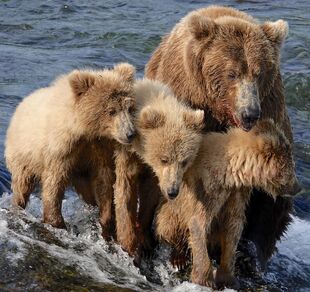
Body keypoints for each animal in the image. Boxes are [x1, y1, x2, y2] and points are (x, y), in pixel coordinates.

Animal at [145, 5, 296, 270]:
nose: (249, 113)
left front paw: (250, 252)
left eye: (258, 73)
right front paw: (181, 251)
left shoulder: (270, 109)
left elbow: (270, 196)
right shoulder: (186, 100)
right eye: (232, 73)